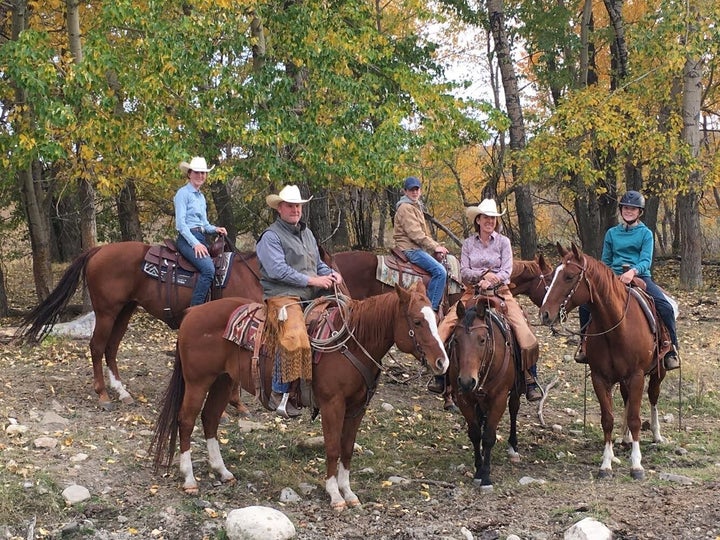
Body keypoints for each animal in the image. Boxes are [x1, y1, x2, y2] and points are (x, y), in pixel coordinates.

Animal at [14, 238, 264, 408]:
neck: (249, 275)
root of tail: (98, 250)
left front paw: (236, 403)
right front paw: (236, 402)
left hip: (124, 311)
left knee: (111, 348)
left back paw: (122, 392)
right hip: (106, 312)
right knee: (97, 347)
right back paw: (103, 394)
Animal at [149, 282, 448, 510]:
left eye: (436, 319)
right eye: (418, 321)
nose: (442, 363)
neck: (351, 345)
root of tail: (192, 313)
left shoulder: (357, 407)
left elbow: (347, 449)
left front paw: (349, 492)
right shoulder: (332, 404)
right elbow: (332, 448)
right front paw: (335, 495)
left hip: (223, 380)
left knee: (210, 419)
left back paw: (222, 472)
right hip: (197, 381)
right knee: (186, 420)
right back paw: (189, 479)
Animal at [448, 302, 520, 492]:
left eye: (482, 339)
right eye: (456, 340)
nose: (467, 381)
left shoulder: (499, 400)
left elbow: (488, 437)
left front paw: (486, 477)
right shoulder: (464, 399)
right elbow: (475, 433)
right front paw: (478, 470)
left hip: (516, 390)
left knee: (514, 409)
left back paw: (513, 446)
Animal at [536, 243, 668, 478]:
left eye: (569, 277)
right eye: (551, 277)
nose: (545, 314)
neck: (616, 326)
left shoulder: (637, 376)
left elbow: (635, 418)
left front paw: (636, 465)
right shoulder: (600, 378)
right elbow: (607, 419)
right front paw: (606, 463)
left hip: (656, 372)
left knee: (653, 397)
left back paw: (656, 435)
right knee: (626, 399)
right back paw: (625, 438)